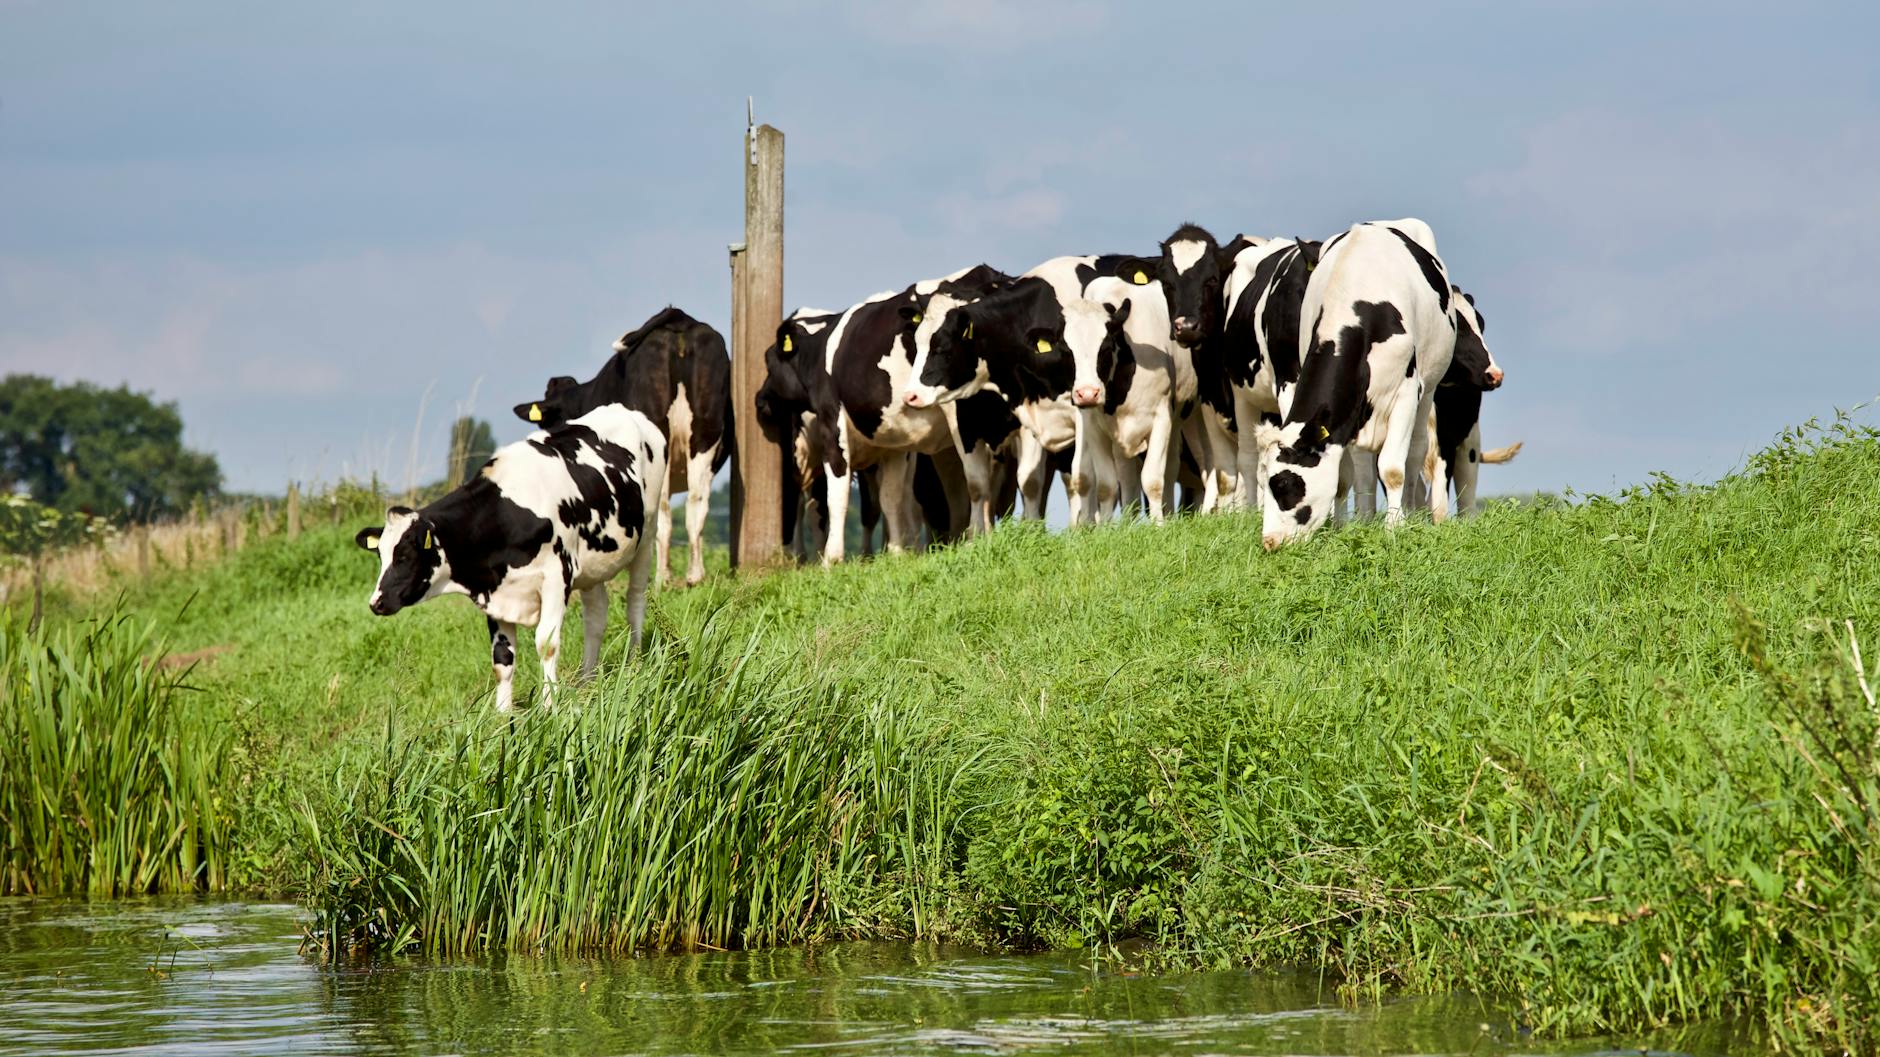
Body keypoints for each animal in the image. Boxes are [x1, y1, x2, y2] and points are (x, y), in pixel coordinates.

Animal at [356, 403, 666, 712]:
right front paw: (502, 715)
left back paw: (635, 664)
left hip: (647, 535)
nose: (376, 602)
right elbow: (502, 659)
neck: (510, 512)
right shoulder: (496, 592)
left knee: (635, 600)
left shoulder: (556, 577)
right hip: (593, 566)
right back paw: (586, 681)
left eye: (405, 555)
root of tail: (621, 409)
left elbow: (546, 644)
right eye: (381, 555)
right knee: (596, 616)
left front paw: (549, 707)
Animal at [513, 307, 730, 587]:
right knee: (696, 503)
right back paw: (694, 575)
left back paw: (662, 578)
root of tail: (679, 319)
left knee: (661, 509)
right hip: (705, 435)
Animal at [1262, 218, 1460, 547]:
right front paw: (1340, 529)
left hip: (1429, 388)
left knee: (1415, 454)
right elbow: (1343, 479)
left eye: (1285, 484)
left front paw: (1394, 528)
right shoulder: (1342, 420)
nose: (1269, 541)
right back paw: (1366, 518)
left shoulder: (1406, 394)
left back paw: (1411, 512)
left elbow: (1392, 469)